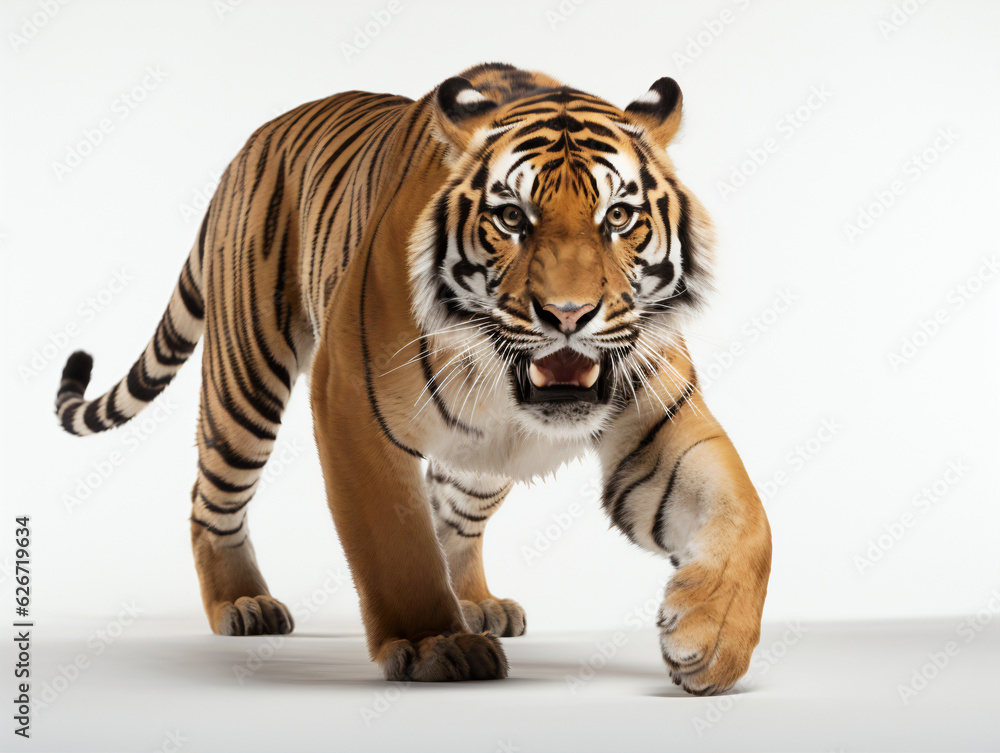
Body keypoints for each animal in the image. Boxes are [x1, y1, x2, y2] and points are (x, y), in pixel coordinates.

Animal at [55, 63, 771, 694]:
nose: (568, 315)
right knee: (212, 500)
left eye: (618, 217)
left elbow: (746, 518)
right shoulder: (350, 403)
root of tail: (247, 149)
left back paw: (477, 602)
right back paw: (242, 603)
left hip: (484, 463)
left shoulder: (657, 417)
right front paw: (434, 644)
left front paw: (709, 644)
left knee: (454, 514)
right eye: (512, 218)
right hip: (245, 382)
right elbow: (395, 541)